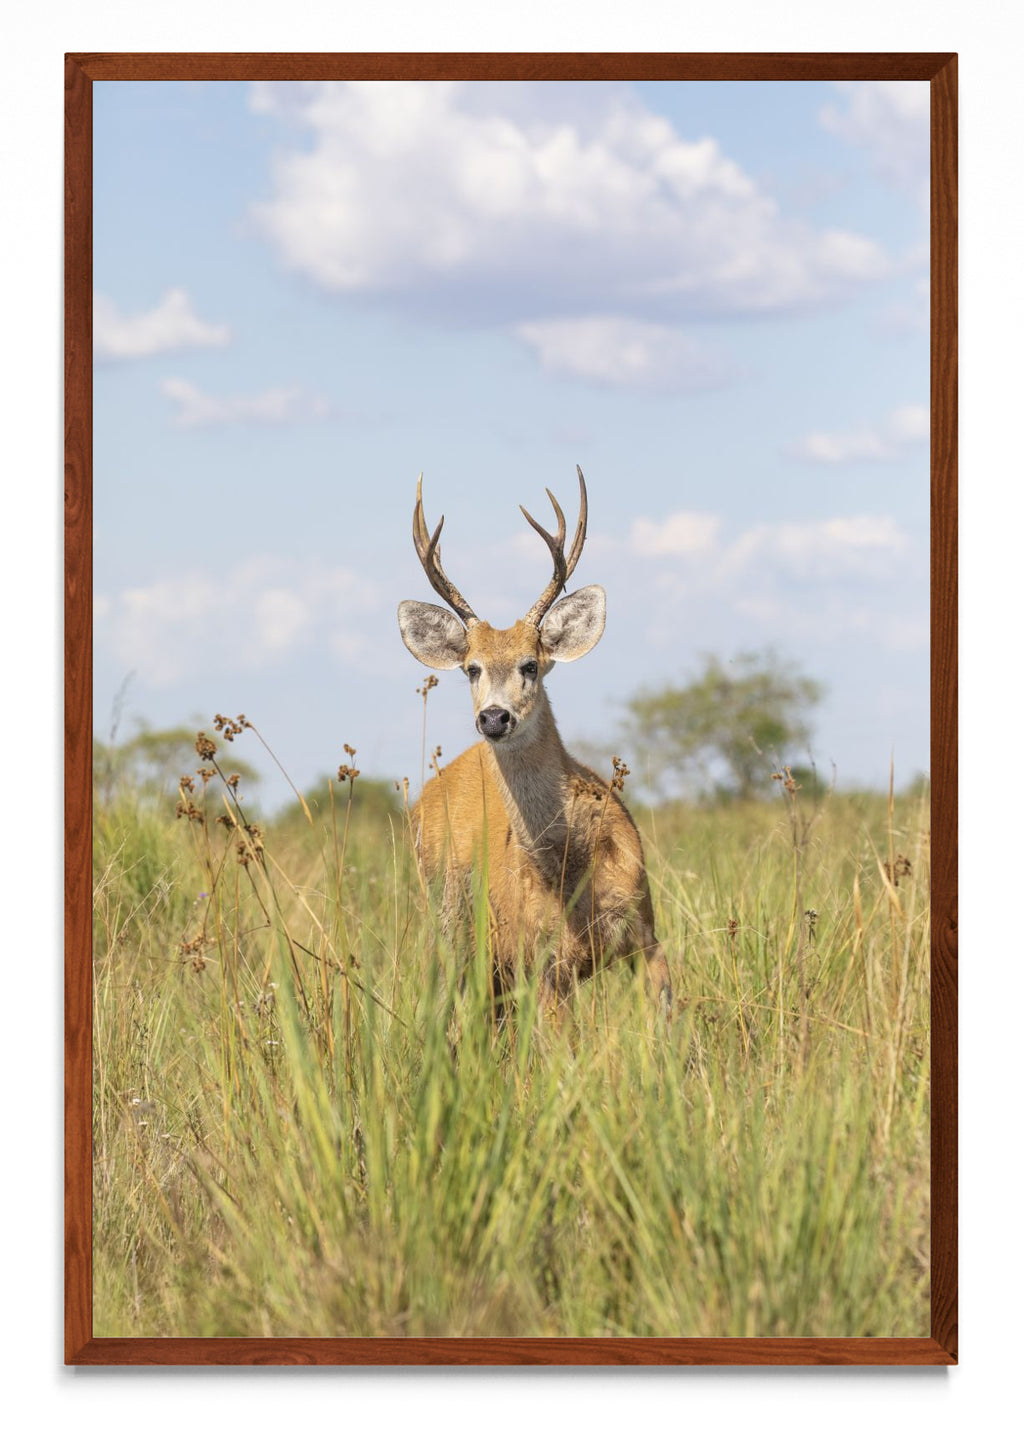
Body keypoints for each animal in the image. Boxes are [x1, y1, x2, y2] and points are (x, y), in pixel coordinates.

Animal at [397, 466, 672, 1021]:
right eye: (471, 668)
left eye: (530, 664)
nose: (494, 717)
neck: (571, 869)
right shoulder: (541, 961)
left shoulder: (646, 930)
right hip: (447, 924)